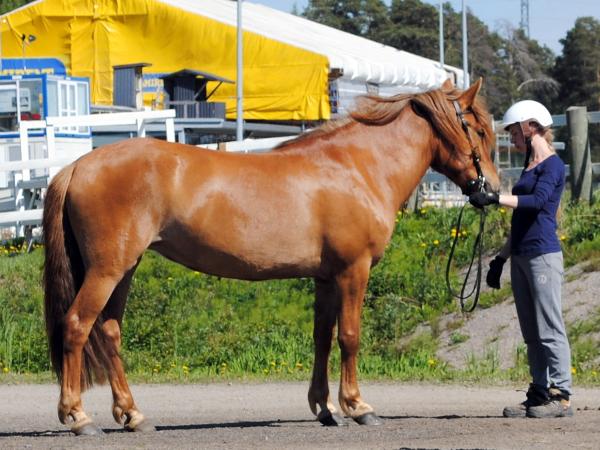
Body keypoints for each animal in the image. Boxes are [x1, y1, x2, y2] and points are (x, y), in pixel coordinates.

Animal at [42, 78, 500, 435]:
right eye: (476, 129)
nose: (492, 192)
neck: (357, 167)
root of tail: (77, 166)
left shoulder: (325, 278)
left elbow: (322, 338)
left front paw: (324, 408)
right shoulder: (353, 272)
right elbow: (350, 337)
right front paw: (357, 406)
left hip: (124, 269)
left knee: (109, 331)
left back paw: (133, 414)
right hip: (108, 270)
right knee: (77, 325)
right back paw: (78, 417)